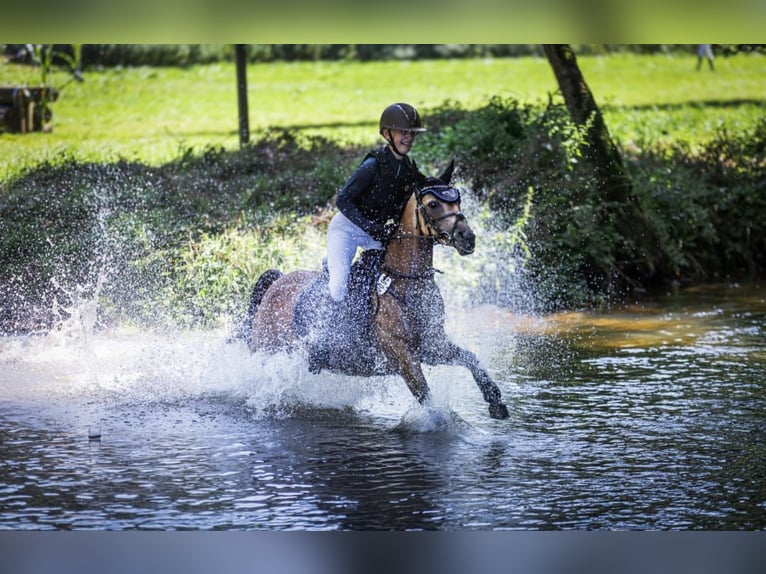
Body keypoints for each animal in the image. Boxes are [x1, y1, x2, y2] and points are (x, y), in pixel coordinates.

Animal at [243, 164, 512, 420]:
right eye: (433, 204)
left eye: (458, 202)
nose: (468, 238)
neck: (404, 282)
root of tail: (277, 282)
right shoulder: (403, 356)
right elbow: (426, 396)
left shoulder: (432, 346)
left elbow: (471, 359)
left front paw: (496, 402)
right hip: (267, 350)